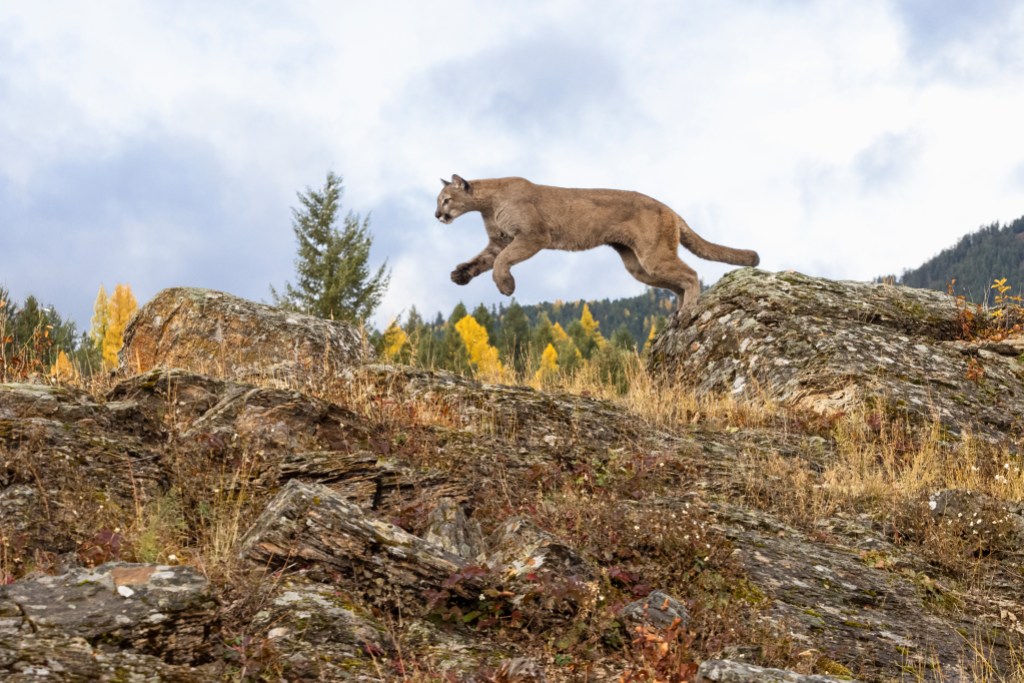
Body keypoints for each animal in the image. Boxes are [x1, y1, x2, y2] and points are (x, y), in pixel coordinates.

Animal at [434, 174, 761, 309]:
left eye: (446, 199)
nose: (437, 214)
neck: (488, 204)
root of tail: (670, 209)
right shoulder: (499, 241)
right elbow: (483, 260)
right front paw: (460, 274)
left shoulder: (532, 236)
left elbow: (502, 262)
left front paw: (506, 286)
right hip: (638, 265)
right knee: (677, 282)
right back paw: (677, 314)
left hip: (653, 256)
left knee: (691, 274)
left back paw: (689, 310)